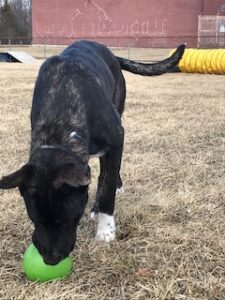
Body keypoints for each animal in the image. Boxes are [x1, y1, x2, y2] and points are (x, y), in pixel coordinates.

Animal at [0, 40, 185, 264]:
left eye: (67, 219)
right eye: (35, 219)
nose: (50, 260)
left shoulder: (116, 140)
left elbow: (107, 188)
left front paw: (106, 230)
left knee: (106, 175)